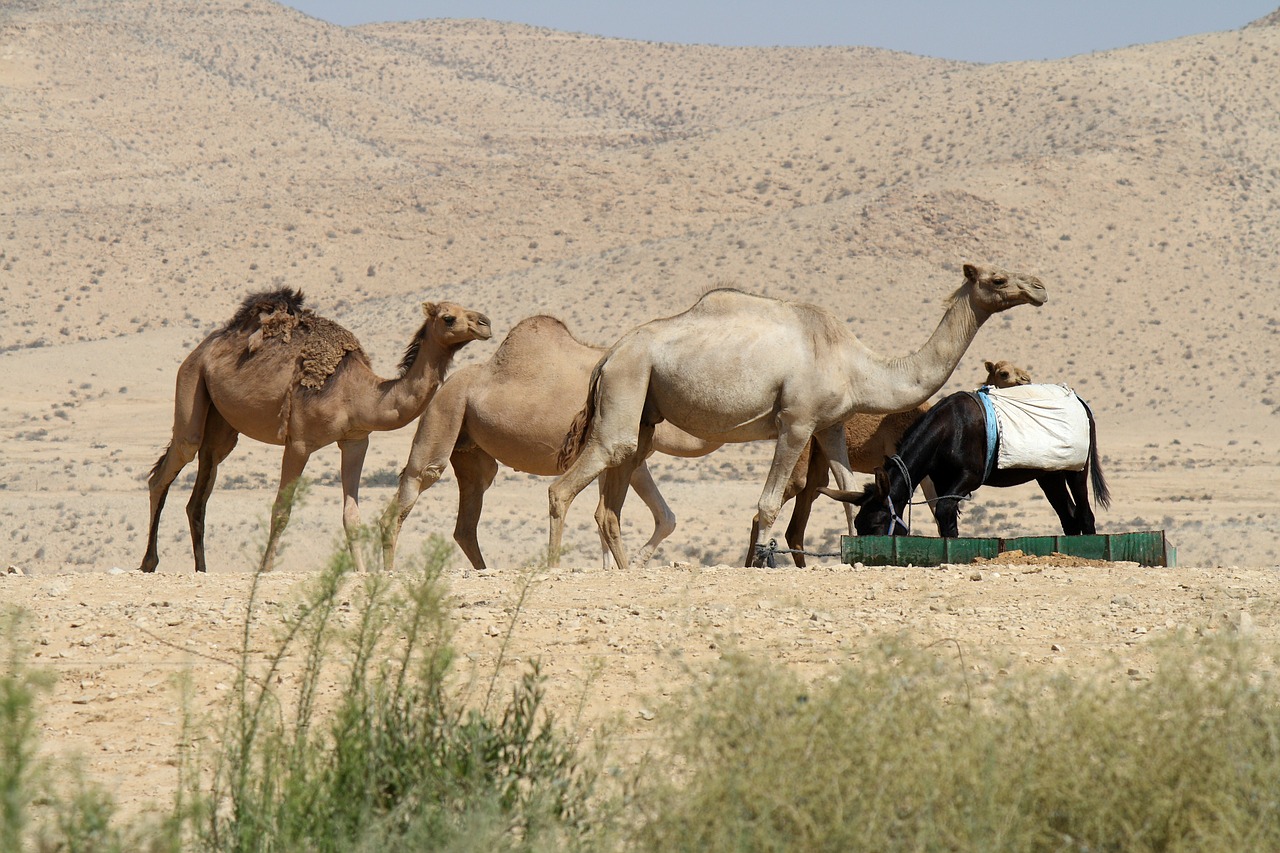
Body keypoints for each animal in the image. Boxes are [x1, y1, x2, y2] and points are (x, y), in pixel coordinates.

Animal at [142, 285, 491, 571]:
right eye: (448, 317)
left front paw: (361, 572)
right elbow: (281, 510)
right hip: (191, 381)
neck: (360, 393)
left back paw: (202, 569)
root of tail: (205, 346)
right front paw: (265, 570)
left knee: (201, 487)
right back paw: (148, 562)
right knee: (170, 464)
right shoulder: (298, 443)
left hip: (221, 423)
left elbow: (351, 516)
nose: (485, 323)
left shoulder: (355, 440)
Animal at [378, 313, 721, 571]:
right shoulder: (622, 452)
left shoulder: (629, 456)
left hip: (470, 448)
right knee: (419, 476)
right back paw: (389, 570)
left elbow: (665, 518)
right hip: (444, 411)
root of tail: (448, 385)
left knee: (469, 512)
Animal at [547, 258, 1039, 563]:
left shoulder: (831, 425)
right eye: (997, 279)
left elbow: (847, 490)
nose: (1038, 287)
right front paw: (762, 563)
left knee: (613, 493)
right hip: (628, 379)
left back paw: (627, 570)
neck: (857, 364)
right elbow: (767, 504)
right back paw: (551, 568)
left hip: (643, 407)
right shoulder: (796, 422)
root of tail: (608, 355)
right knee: (567, 484)